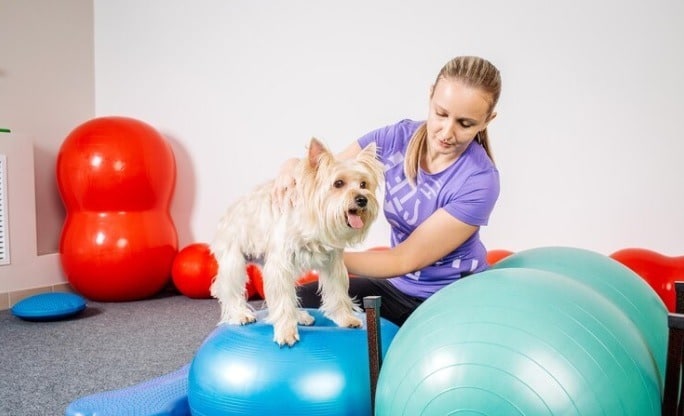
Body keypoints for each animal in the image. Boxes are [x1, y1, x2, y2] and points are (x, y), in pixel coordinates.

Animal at [208, 138, 382, 346]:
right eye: (338, 183)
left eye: (364, 184)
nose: (362, 199)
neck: (313, 219)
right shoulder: (280, 265)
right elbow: (283, 298)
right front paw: (286, 331)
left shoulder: (333, 264)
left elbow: (337, 292)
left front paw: (345, 318)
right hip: (233, 260)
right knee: (228, 289)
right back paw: (240, 314)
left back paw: (299, 316)